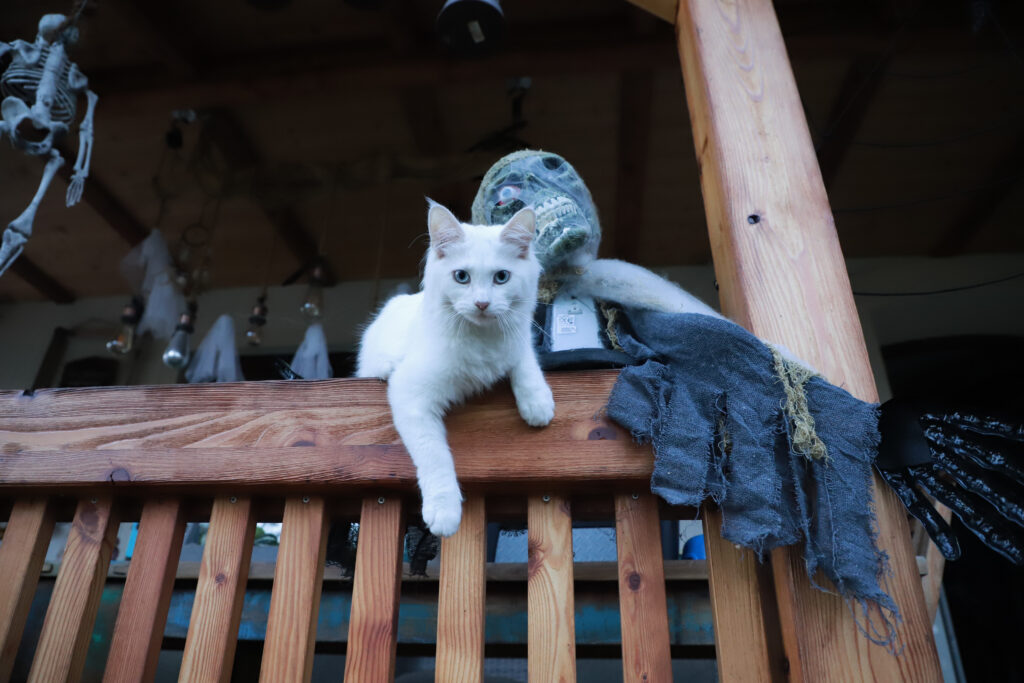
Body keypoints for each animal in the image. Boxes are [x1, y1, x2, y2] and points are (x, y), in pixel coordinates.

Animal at [356, 202, 555, 536]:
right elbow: (435, 455)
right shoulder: (411, 396)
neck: (482, 341)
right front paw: (444, 510)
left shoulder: (517, 338)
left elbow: (524, 359)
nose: (482, 304)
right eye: (461, 277)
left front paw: (537, 402)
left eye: (502, 277)